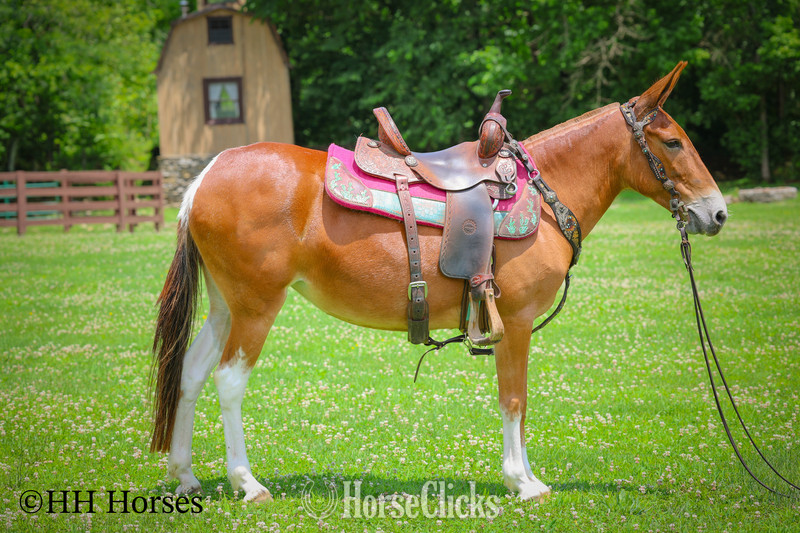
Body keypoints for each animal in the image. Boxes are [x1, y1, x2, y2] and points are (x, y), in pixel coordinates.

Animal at [149, 61, 728, 502]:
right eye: (673, 142)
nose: (717, 212)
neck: (543, 197)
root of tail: (205, 176)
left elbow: (516, 402)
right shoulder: (514, 321)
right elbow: (514, 399)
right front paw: (524, 482)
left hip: (225, 305)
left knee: (190, 373)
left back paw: (186, 476)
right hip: (256, 305)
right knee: (228, 380)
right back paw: (247, 483)